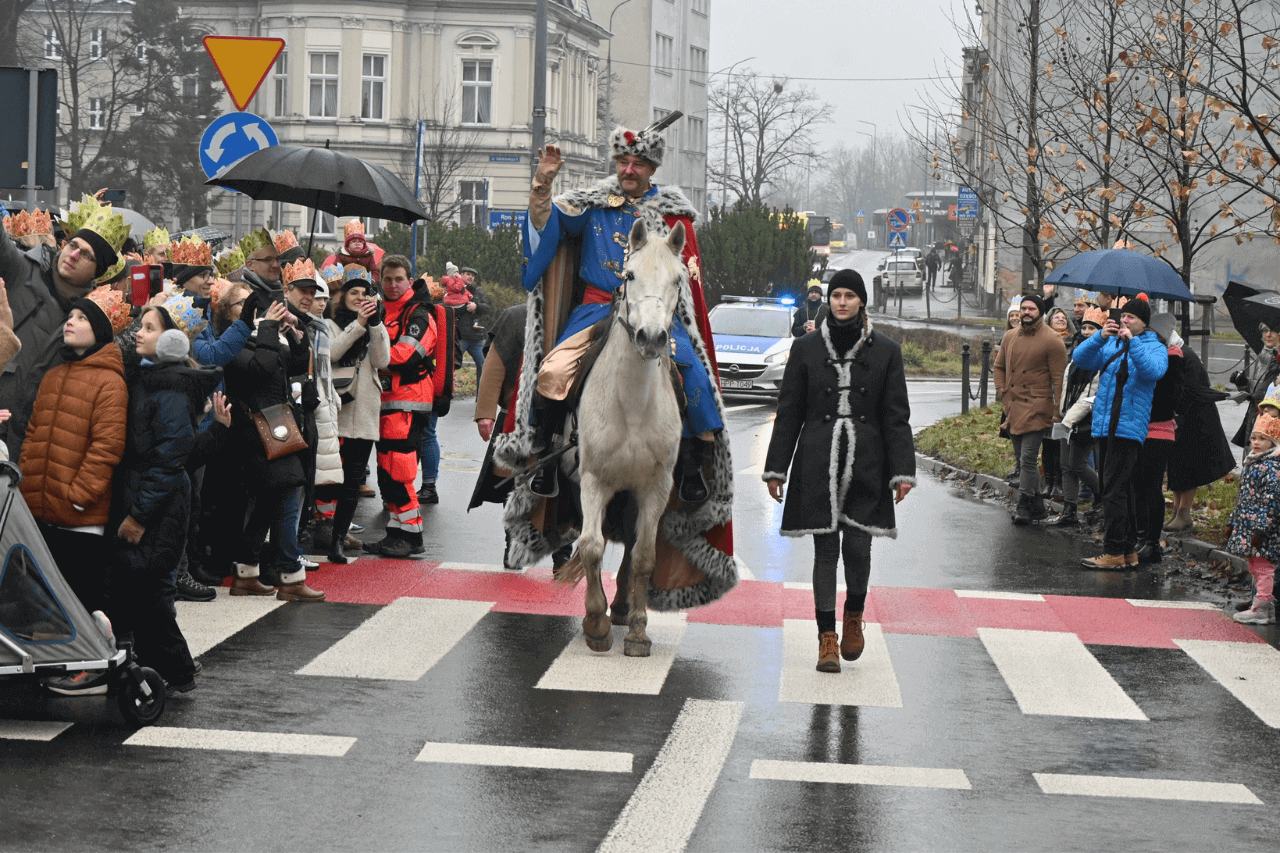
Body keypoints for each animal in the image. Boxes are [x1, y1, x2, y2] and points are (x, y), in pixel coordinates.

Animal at [570, 216, 691, 653]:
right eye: (630, 275)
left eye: (678, 279)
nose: (652, 338)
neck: (633, 407)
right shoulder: (593, 480)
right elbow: (591, 546)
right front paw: (595, 623)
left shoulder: (656, 487)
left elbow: (643, 556)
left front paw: (638, 628)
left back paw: (623, 606)